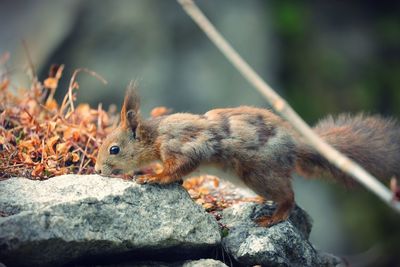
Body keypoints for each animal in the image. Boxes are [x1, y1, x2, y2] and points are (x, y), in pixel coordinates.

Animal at [94, 86, 400, 228]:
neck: (157, 135)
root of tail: (294, 146)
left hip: (259, 173)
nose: (96, 170)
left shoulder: (186, 144)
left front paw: (153, 177)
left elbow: (179, 167)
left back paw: (273, 217)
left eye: (114, 149)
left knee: (289, 196)